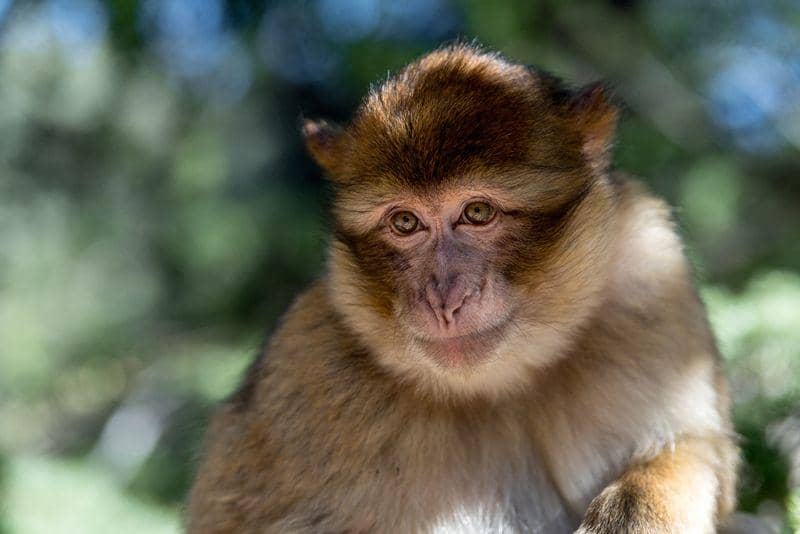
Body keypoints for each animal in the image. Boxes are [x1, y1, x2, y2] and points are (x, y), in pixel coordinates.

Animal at [186, 44, 741, 533]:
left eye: (477, 212)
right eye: (405, 223)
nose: (444, 298)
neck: (500, 385)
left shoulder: (651, 278)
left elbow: (699, 451)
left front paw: (635, 507)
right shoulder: (303, 361)